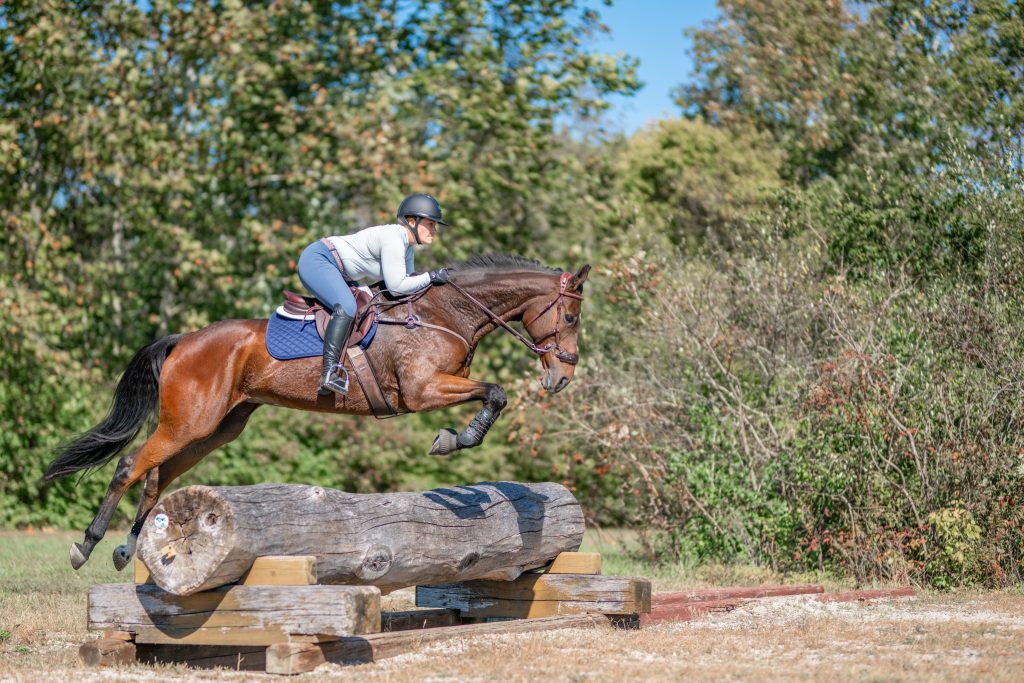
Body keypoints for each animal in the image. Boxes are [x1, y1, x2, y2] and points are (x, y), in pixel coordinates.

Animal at [43, 254, 590, 571]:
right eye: (569, 315)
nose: (561, 377)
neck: (444, 313)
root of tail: (185, 339)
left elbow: (494, 394)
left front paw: (456, 444)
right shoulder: (421, 391)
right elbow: (496, 393)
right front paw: (452, 439)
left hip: (215, 429)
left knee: (158, 476)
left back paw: (129, 548)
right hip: (189, 422)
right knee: (129, 466)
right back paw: (86, 546)